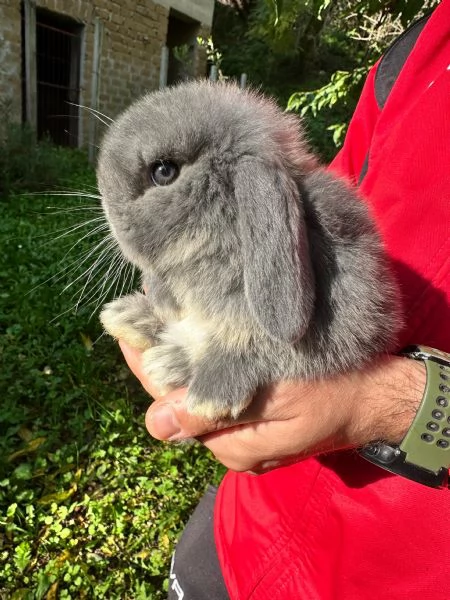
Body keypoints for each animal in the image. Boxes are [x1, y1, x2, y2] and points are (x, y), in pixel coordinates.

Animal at [98, 79, 400, 420]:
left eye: (164, 171)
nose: (107, 212)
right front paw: (130, 316)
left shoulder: (343, 323)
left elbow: (265, 349)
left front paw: (206, 392)